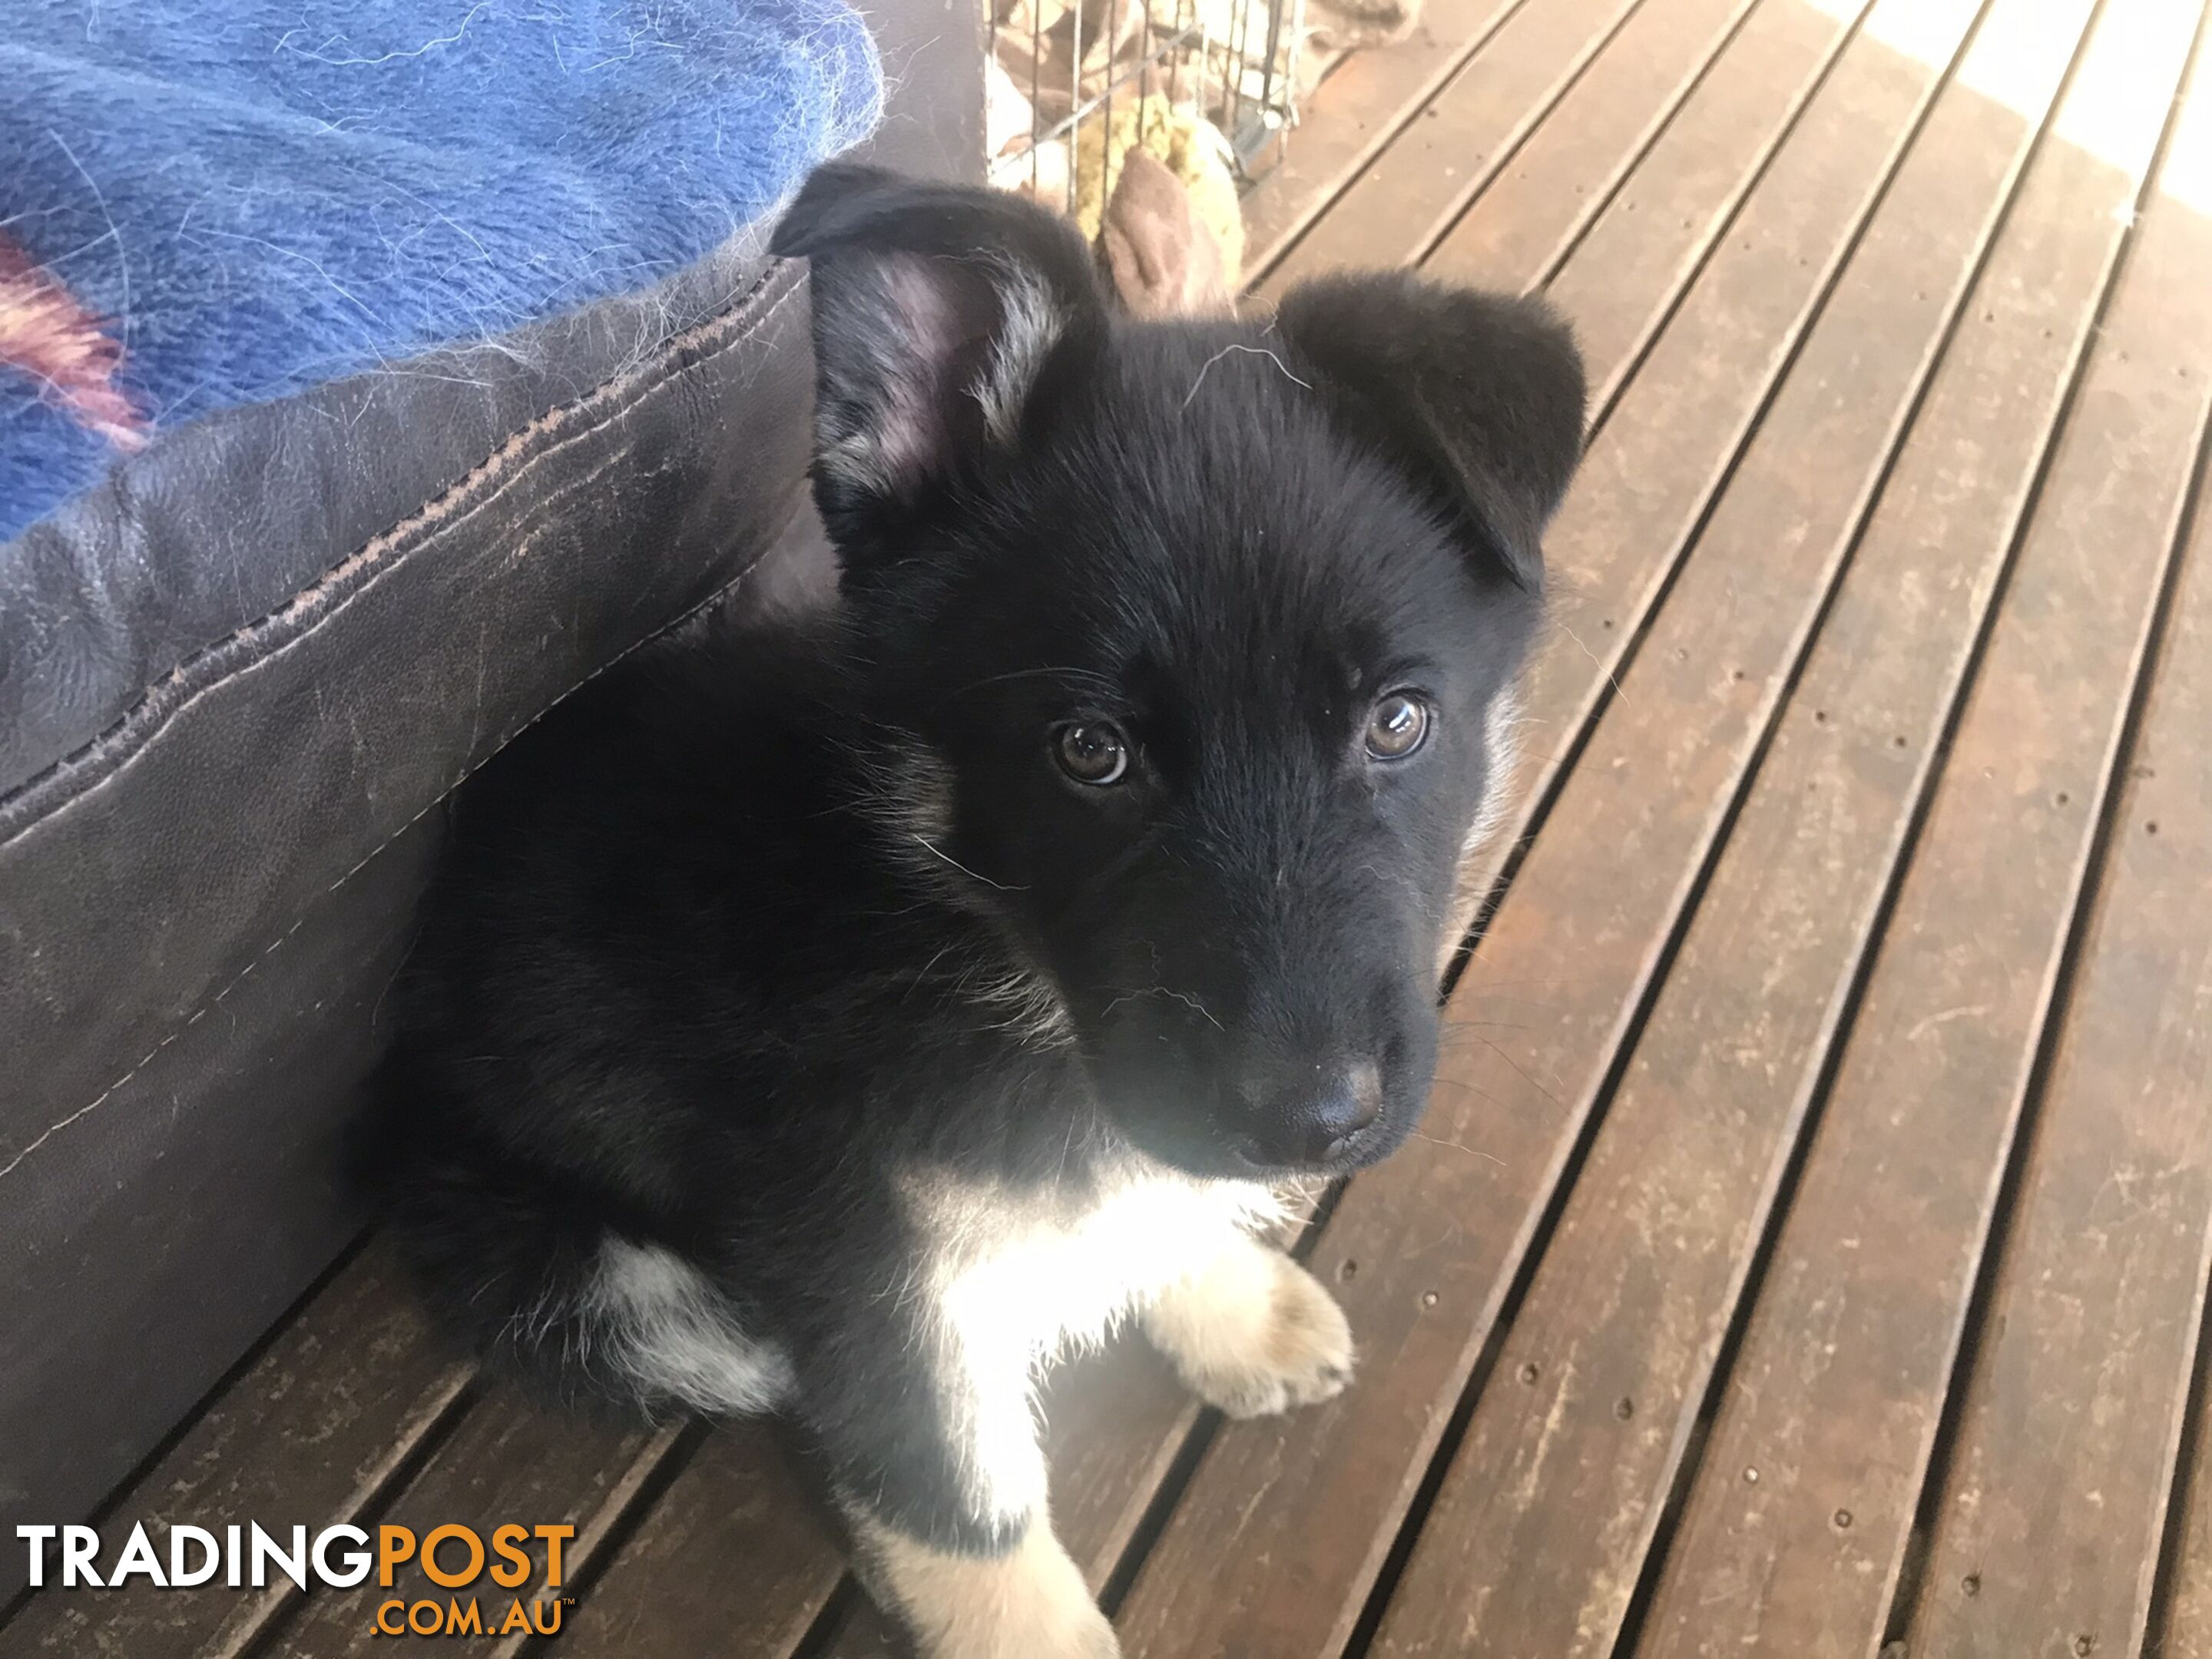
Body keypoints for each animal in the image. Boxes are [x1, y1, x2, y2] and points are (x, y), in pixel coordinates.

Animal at [363, 159, 1584, 1659]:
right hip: (611, 1282)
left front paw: (1223, 1301)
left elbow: (1149, 1191)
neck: (961, 925)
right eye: (1089, 753)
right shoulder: (866, 1272)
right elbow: (968, 1514)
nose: (1312, 1122)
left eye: (1401, 721)